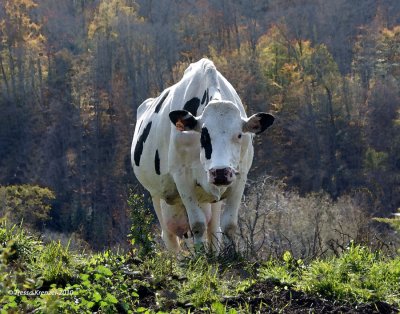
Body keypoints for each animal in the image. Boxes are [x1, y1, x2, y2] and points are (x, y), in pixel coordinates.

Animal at [130, 59, 274, 253]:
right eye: (204, 135)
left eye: (239, 135)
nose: (220, 172)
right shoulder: (182, 177)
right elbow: (197, 224)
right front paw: (199, 255)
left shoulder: (240, 176)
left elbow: (229, 225)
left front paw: (231, 254)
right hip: (156, 194)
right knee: (169, 237)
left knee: (213, 228)